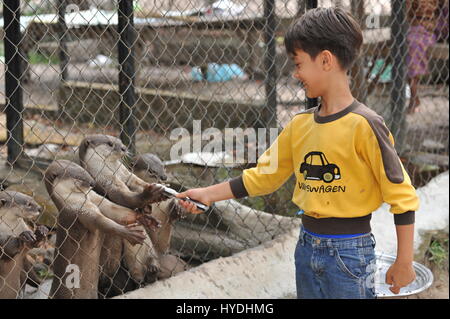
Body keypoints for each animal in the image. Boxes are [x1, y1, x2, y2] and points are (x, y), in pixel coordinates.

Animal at [45, 160, 155, 300]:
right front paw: (129, 233)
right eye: (79, 178)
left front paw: (145, 215)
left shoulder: (95, 199)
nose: (93, 183)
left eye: (86, 172)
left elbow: (115, 210)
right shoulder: (80, 211)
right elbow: (102, 222)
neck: (73, 201)